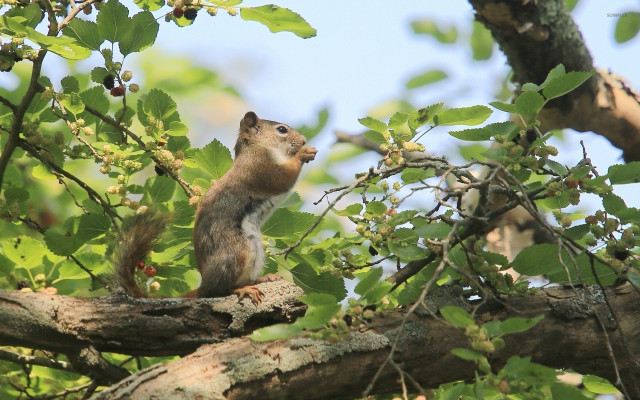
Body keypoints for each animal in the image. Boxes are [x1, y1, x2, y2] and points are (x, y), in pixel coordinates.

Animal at [113, 111, 317, 304]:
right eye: (281, 130)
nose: (304, 141)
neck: (257, 148)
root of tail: (205, 284)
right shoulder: (262, 169)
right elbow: (284, 177)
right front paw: (304, 153)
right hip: (237, 253)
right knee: (219, 290)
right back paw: (242, 289)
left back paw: (263, 279)